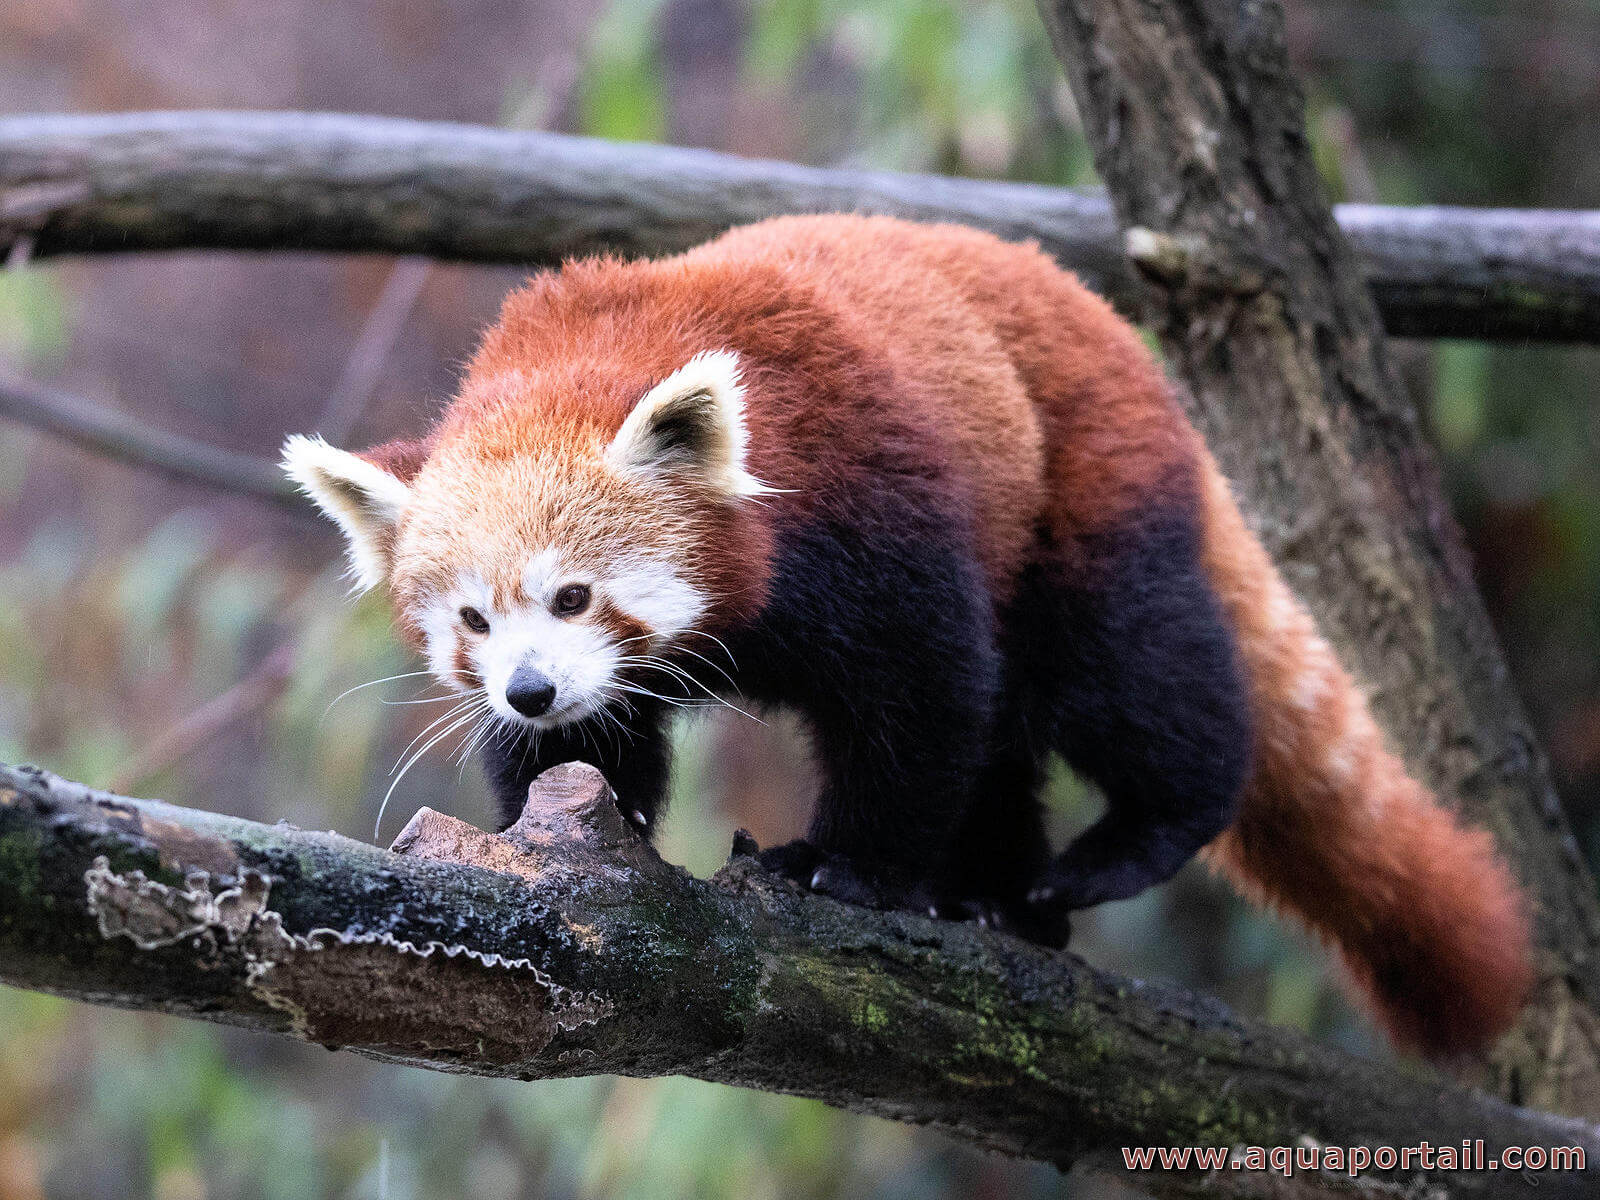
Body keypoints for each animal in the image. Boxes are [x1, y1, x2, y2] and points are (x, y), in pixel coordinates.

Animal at [281, 211, 1529, 1056]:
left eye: (575, 597)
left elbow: (919, 698)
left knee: (1134, 680)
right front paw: (585, 807)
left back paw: (1126, 840)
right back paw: (993, 895)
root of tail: (1088, 306)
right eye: (474, 621)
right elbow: (591, 752)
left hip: (1077, 484)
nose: (531, 691)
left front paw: (850, 868)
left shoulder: (867, 503)